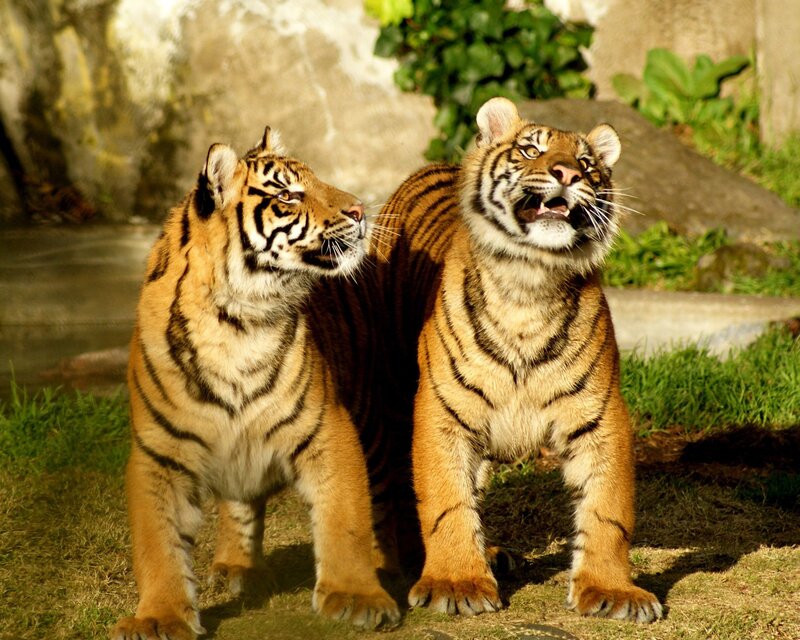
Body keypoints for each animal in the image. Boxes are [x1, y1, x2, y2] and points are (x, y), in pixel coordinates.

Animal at [111, 127, 400, 640]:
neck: (236, 322)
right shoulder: (158, 453)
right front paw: (159, 617)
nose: (360, 211)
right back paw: (237, 569)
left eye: (316, 179)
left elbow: (345, 519)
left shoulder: (330, 429)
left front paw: (356, 596)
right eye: (288, 195)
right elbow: (157, 545)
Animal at [371, 97, 665, 623]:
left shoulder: (601, 415)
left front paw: (612, 590)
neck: (531, 281)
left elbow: (607, 510)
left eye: (588, 163)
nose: (568, 173)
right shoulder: (441, 414)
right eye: (532, 150)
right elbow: (445, 501)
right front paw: (455, 583)